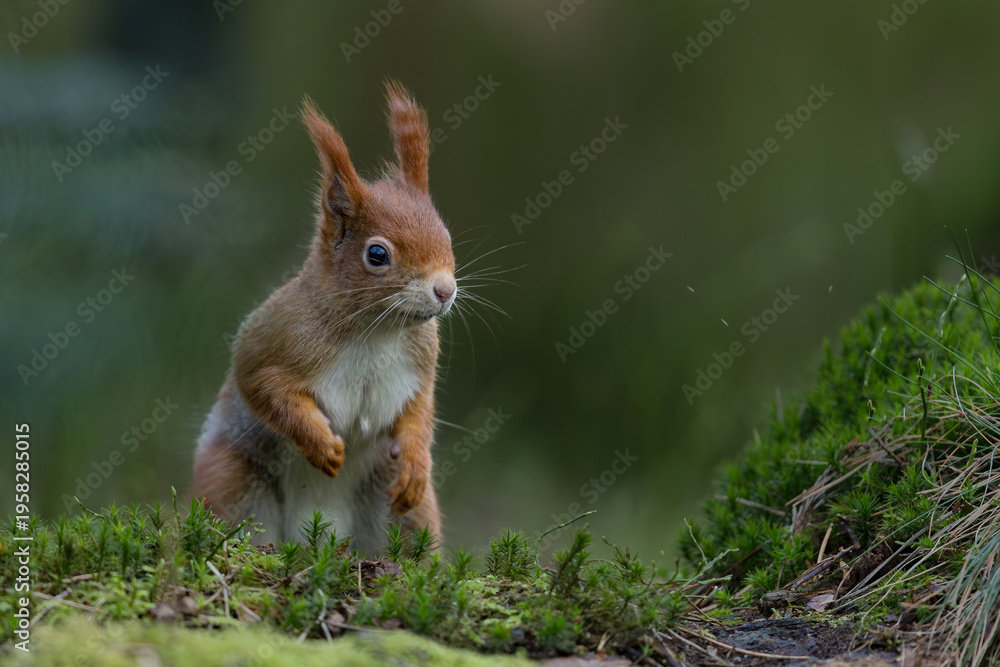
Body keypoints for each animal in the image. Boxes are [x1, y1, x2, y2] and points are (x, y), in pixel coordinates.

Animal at [191, 82, 455, 555]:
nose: (445, 290)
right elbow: (262, 386)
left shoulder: (422, 364)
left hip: (401, 512)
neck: (377, 331)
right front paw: (321, 445)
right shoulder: (273, 338)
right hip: (234, 481)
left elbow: (419, 411)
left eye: (446, 233)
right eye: (377, 254)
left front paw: (416, 462)